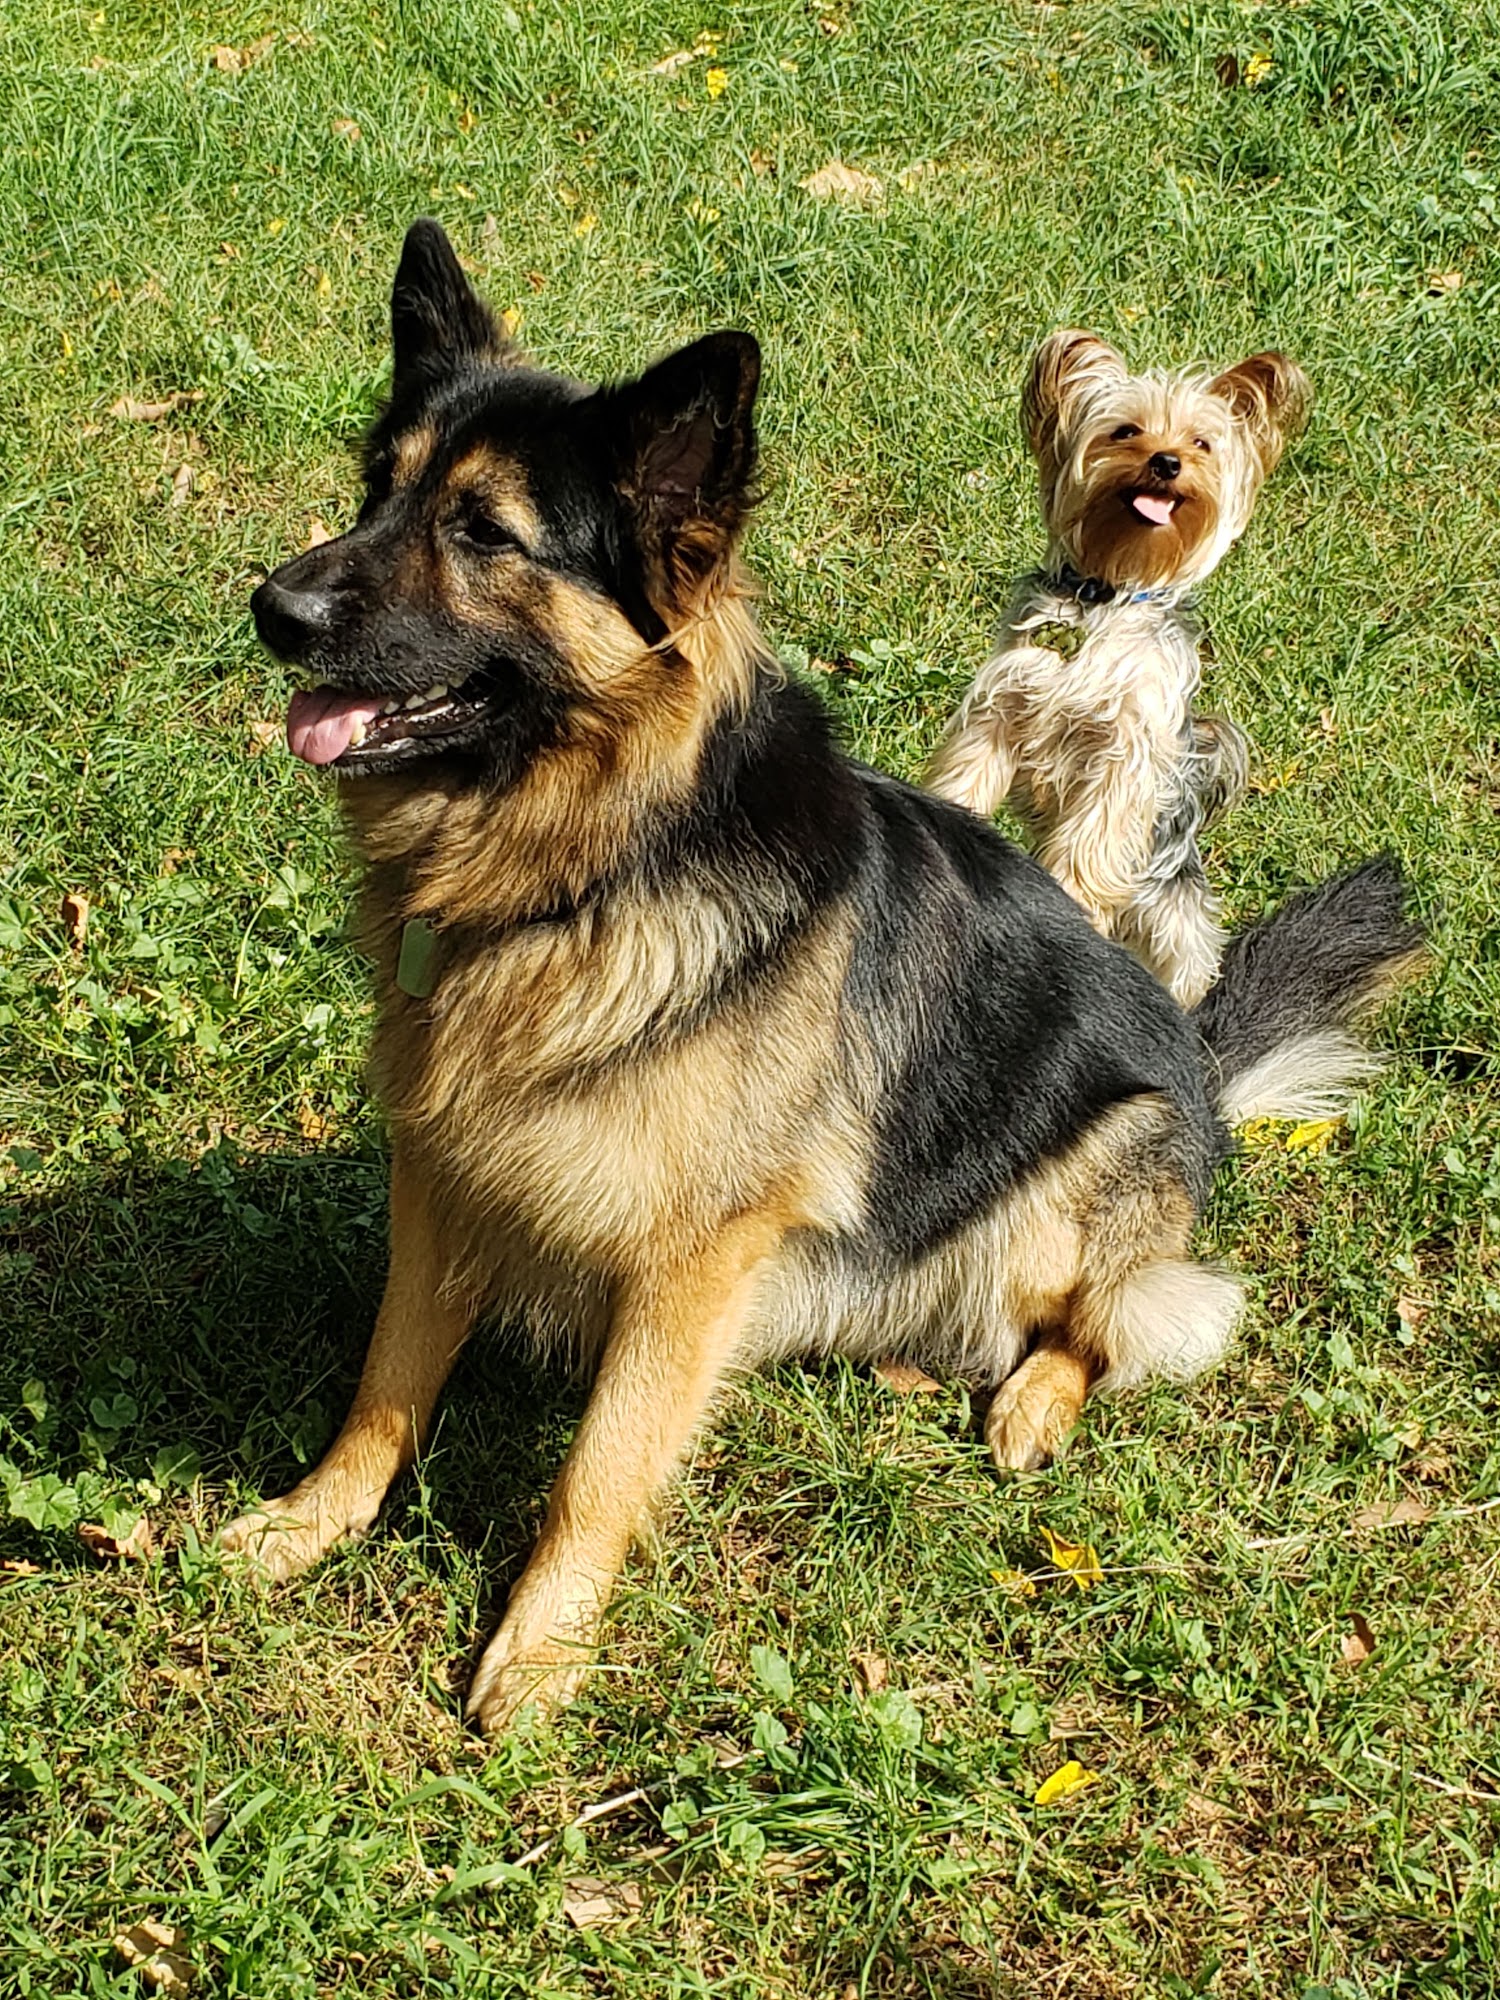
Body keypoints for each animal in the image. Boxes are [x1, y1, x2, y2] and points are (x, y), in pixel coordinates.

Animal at [936, 338, 1312, 1016]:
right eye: (1126, 430)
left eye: (1201, 442)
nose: (1165, 461)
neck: (1107, 594)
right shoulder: (1001, 705)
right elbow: (968, 775)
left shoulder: (1128, 749)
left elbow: (1094, 837)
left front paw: (1072, 896)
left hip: (1170, 913)